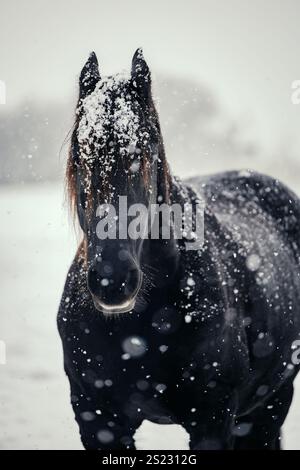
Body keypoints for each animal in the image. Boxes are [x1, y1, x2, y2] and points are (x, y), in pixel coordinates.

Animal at [58, 49, 300, 450]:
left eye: (143, 155)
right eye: (80, 158)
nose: (113, 282)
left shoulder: (212, 421)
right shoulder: (98, 419)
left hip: (271, 403)